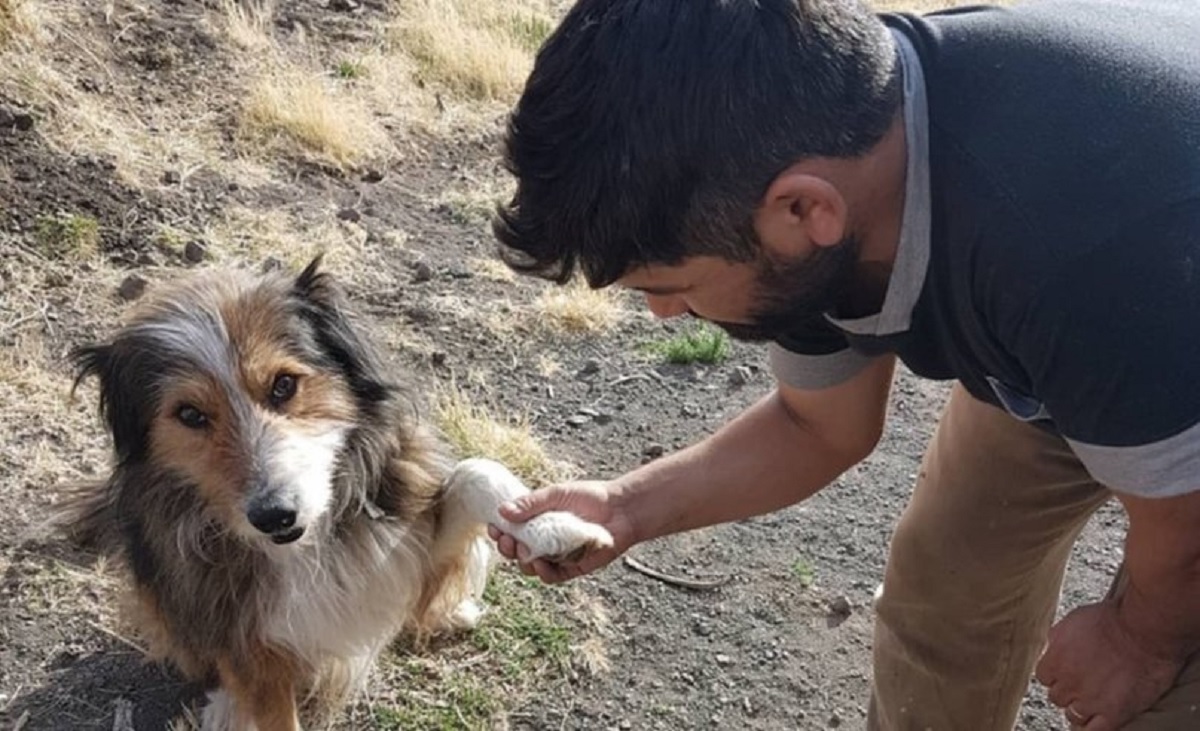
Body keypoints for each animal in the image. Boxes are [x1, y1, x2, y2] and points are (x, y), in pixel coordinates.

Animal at [58, 258, 609, 729]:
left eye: (283, 385)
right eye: (189, 414)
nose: (275, 516)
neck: (312, 546)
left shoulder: (405, 550)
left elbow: (478, 472)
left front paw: (555, 527)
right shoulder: (251, 651)